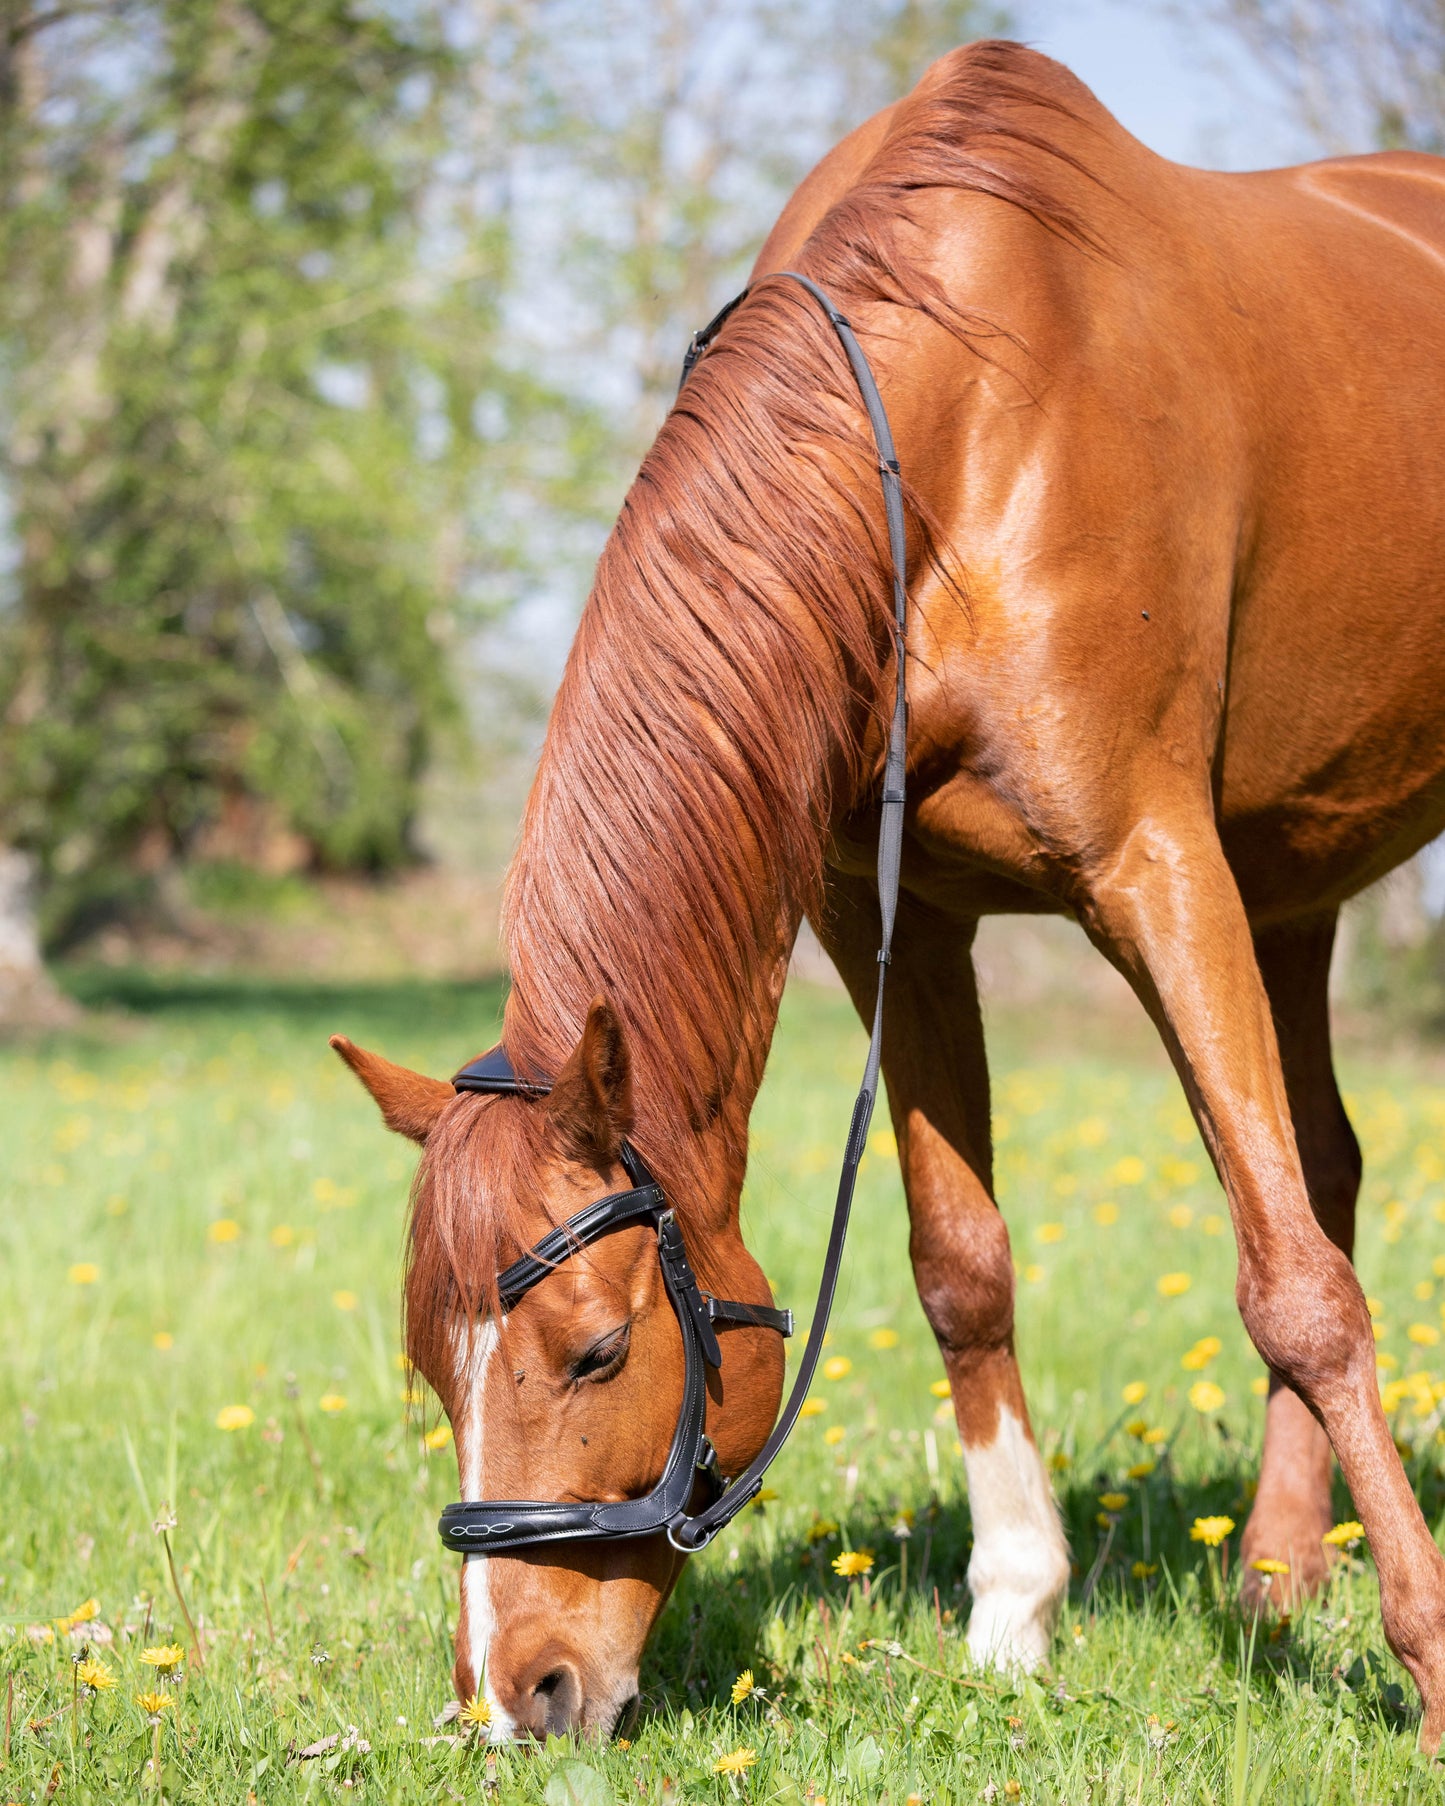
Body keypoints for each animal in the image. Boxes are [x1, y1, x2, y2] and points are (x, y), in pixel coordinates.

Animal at [332, 38, 1445, 1733]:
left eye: (594, 1353)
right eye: (430, 1366)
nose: (518, 1690)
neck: (963, 421)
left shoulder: (1155, 867)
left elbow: (1296, 1286)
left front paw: (1428, 1655)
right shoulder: (896, 918)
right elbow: (962, 1265)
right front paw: (1014, 1610)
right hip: (1290, 884)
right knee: (1323, 1163)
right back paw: (1270, 1569)